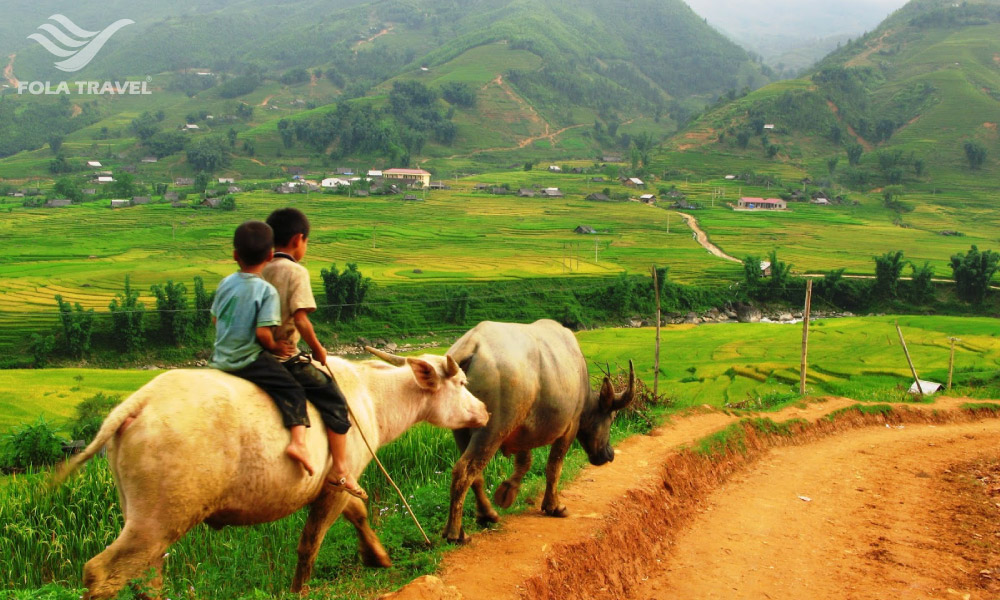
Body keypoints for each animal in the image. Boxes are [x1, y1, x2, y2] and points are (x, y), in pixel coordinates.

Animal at [52, 352, 490, 600]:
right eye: (461, 383)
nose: (485, 411)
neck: (371, 397)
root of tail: (138, 403)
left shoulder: (339, 481)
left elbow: (359, 514)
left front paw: (377, 556)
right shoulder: (335, 486)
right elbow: (310, 542)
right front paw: (299, 590)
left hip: (143, 519)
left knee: (148, 576)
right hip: (160, 520)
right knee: (103, 573)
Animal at [444, 318, 632, 544]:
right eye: (611, 418)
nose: (609, 454)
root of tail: (470, 347)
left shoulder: (521, 430)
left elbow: (525, 462)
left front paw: (507, 492)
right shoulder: (570, 427)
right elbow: (554, 466)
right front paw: (554, 506)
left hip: (462, 430)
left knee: (474, 473)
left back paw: (486, 514)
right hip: (492, 429)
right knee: (464, 470)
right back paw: (456, 533)